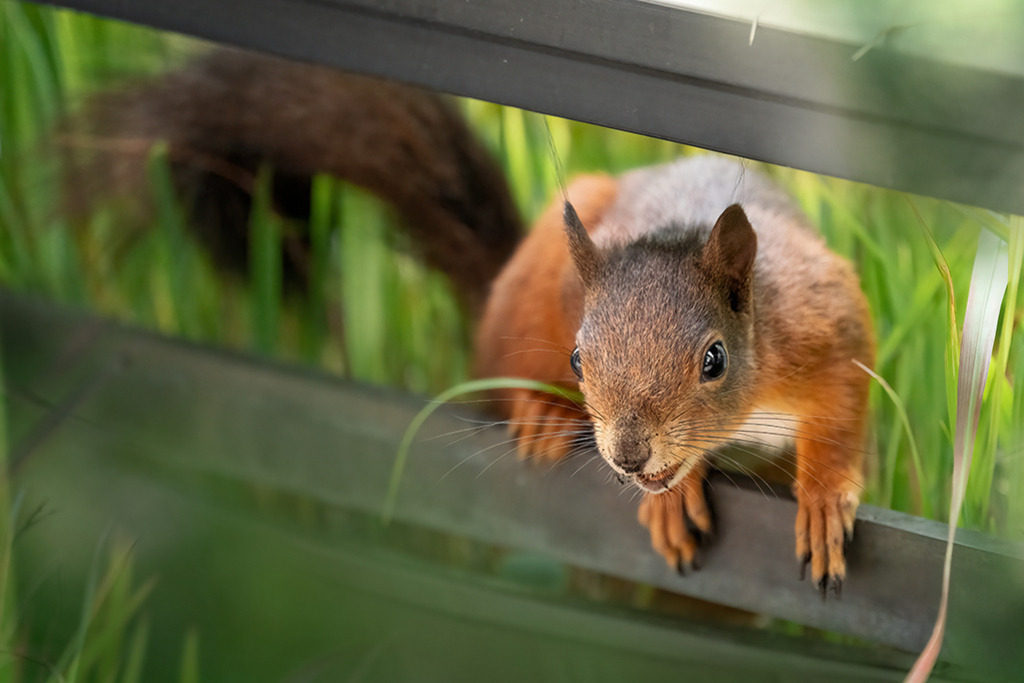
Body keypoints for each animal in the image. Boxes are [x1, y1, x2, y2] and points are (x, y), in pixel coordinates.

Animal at [66, 49, 874, 595]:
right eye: (579, 359)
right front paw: (671, 497)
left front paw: (823, 496)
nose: (629, 454)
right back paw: (542, 415)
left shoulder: (823, 320)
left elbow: (842, 408)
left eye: (713, 360)